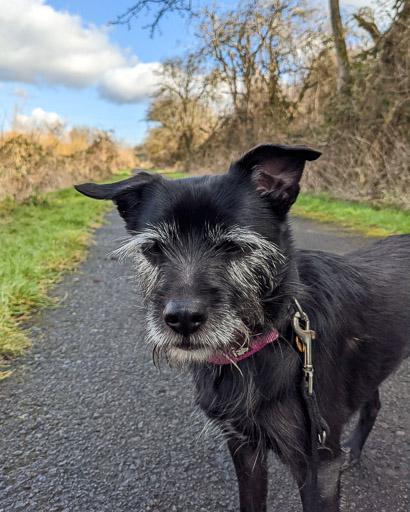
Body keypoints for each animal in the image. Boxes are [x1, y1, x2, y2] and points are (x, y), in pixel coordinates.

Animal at [75, 145, 408, 512]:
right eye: (153, 249)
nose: (182, 319)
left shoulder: (319, 468)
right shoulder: (244, 447)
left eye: (233, 245)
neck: (270, 338)